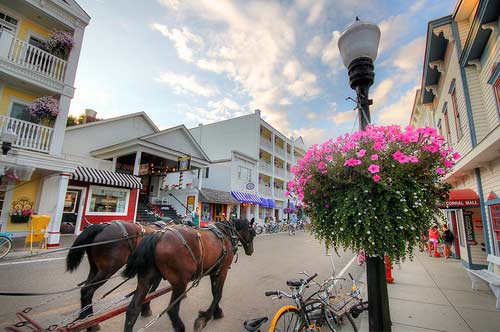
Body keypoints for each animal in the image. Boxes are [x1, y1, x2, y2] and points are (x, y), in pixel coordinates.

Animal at [120, 219, 254, 332]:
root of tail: (158, 235)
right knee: (172, 310)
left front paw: (217, 312)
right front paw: (204, 318)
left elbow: (214, 292)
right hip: (180, 283)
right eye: (253, 233)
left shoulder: (213, 271)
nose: (250, 251)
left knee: (133, 310)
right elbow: (218, 294)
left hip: (146, 279)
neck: (226, 234)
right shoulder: (223, 270)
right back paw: (180, 327)